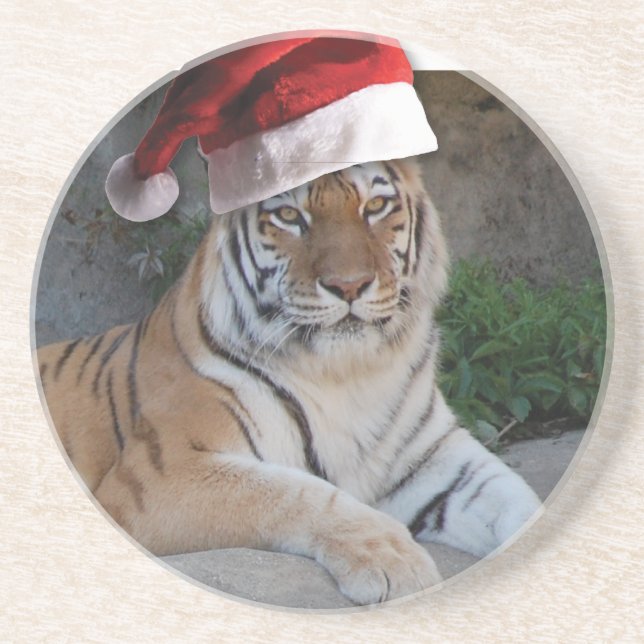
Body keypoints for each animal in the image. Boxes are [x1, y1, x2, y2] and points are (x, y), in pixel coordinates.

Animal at [37, 158, 541, 606]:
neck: (350, 373)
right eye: (288, 216)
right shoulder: (160, 475)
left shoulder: (436, 459)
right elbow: (295, 493)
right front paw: (396, 561)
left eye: (376, 206)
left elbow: (515, 497)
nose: (349, 285)